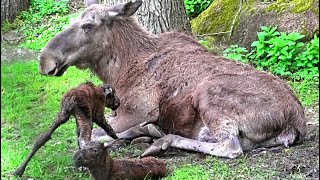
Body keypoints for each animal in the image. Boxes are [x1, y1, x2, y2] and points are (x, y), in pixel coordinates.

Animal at [38, 0, 308, 158]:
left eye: (88, 26)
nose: (45, 60)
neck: (118, 71)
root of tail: (296, 123)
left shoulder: (136, 110)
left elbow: (86, 138)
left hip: (210, 94)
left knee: (231, 147)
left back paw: (162, 141)